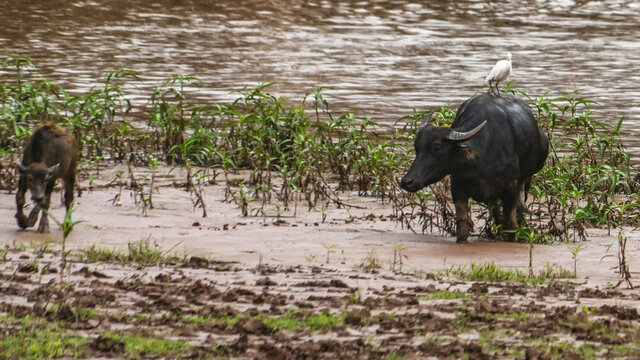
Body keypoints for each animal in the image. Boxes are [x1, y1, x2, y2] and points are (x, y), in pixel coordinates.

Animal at [400, 93, 544, 242]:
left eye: (436, 148)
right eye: (416, 147)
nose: (406, 181)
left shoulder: (511, 188)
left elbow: (510, 225)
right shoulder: (457, 188)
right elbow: (463, 226)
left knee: (520, 207)